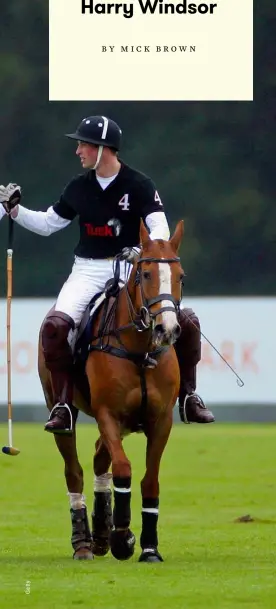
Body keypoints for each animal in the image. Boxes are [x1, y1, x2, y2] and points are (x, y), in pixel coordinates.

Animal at [38, 218, 183, 560]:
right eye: (145, 274)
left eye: (181, 276)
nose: (167, 329)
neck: (140, 349)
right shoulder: (108, 414)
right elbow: (123, 468)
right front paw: (122, 537)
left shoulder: (161, 420)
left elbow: (150, 481)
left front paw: (148, 547)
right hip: (63, 408)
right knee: (75, 470)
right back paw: (84, 543)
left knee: (98, 458)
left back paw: (102, 533)